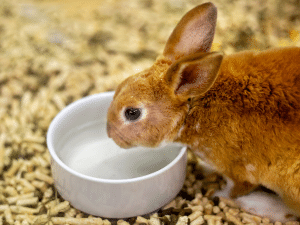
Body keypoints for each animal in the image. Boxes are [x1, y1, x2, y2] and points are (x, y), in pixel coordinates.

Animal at [107, 1, 300, 219]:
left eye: (132, 113)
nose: (110, 133)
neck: (192, 109)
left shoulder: (238, 170)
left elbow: (235, 188)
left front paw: (220, 193)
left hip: (292, 183)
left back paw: (257, 204)